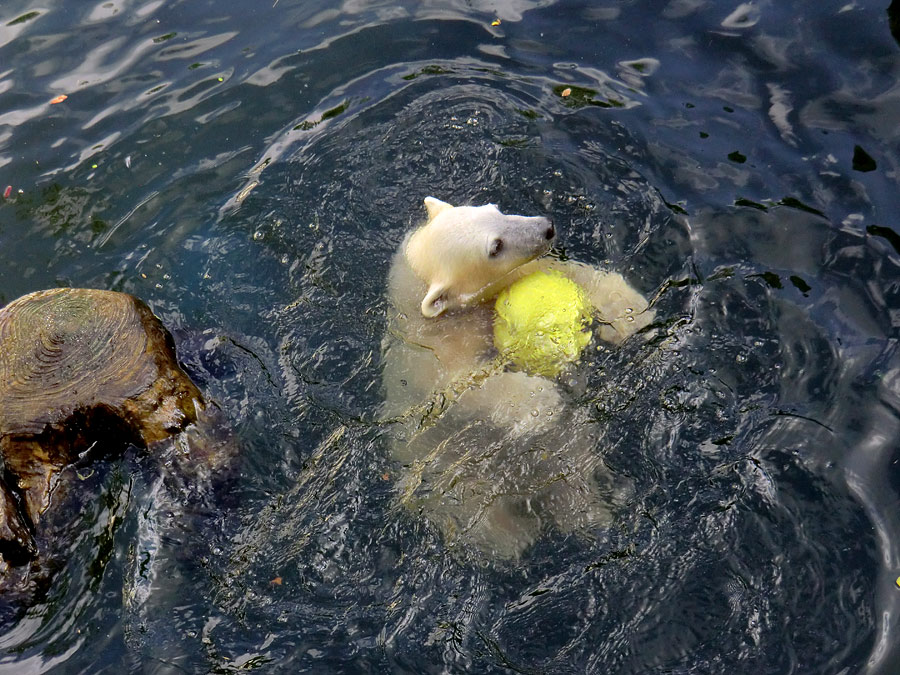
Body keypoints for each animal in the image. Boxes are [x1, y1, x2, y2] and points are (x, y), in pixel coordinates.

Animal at [382, 198, 652, 564]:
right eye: (495, 247)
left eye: (495, 209)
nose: (546, 228)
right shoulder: (429, 359)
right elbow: (461, 390)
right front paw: (543, 399)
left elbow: (565, 272)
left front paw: (631, 312)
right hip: (443, 470)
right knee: (480, 514)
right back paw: (517, 534)